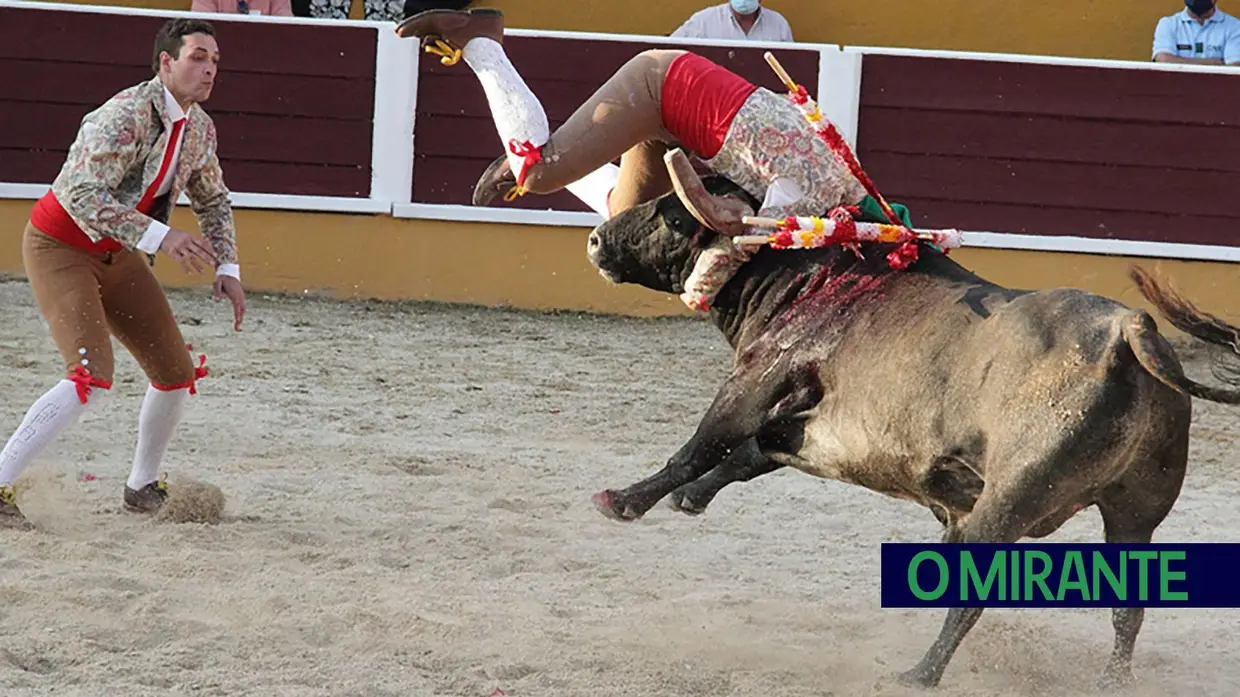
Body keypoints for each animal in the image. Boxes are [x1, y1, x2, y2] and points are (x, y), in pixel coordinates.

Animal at [585, 149, 1240, 684]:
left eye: (670, 216)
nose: (595, 240)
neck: (810, 276)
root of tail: (1129, 329)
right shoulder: (806, 426)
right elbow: (748, 454)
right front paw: (689, 499)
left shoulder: (754, 382)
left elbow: (701, 444)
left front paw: (624, 500)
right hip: (1136, 510)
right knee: (1129, 607)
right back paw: (1112, 680)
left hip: (1009, 502)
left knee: (976, 596)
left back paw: (921, 672)